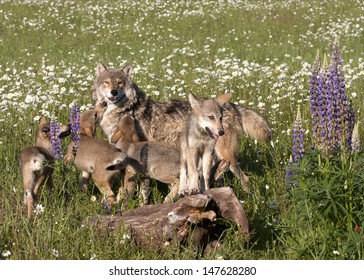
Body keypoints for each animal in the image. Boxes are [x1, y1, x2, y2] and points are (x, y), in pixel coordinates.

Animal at [92, 63, 272, 195]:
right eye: (106, 82)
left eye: (120, 82)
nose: (113, 92)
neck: (125, 111)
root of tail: (231, 106)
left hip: (226, 157)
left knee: (244, 179)